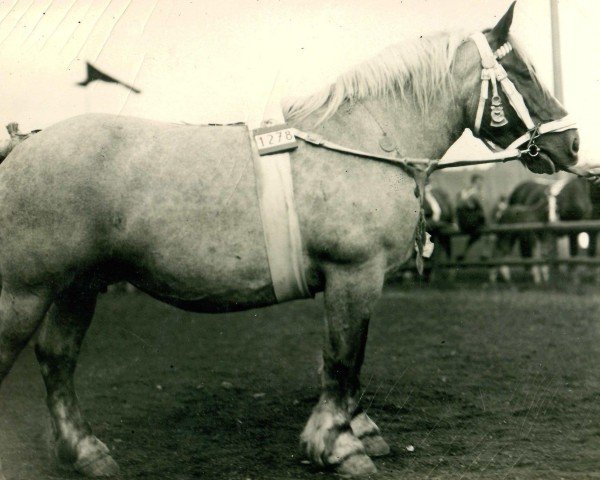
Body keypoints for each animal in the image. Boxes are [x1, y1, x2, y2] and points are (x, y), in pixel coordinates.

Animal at [0, 4, 584, 480]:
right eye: (522, 72)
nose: (573, 143)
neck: (362, 140)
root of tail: (21, 148)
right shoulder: (353, 274)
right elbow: (344, 358)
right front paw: (338, 447)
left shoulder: (355, 281)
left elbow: (347, 362)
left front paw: (356, 430)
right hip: (24, 293)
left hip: (78, 286)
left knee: (57, 358)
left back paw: (87, 452)